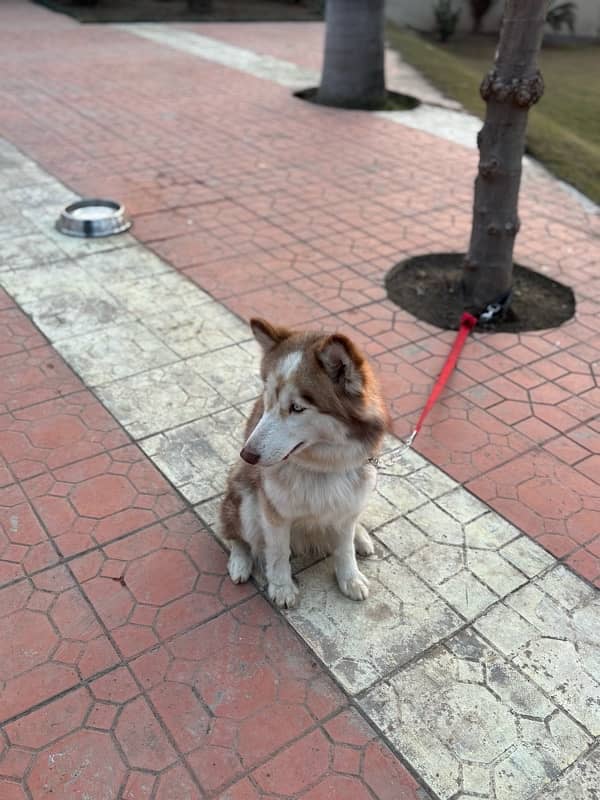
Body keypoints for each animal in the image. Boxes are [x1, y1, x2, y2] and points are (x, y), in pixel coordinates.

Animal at [220, 318, 390, 608]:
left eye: (297, 408)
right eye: (268, 400)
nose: (247, 455)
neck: (322, 467)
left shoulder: (349, 500)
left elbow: (344, 547)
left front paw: (350, 578)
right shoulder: (274, 511)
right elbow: (277, 551)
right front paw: (282, 587)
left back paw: (361, 536)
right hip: (245, 501)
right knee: (236, 534)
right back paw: (240, 562)